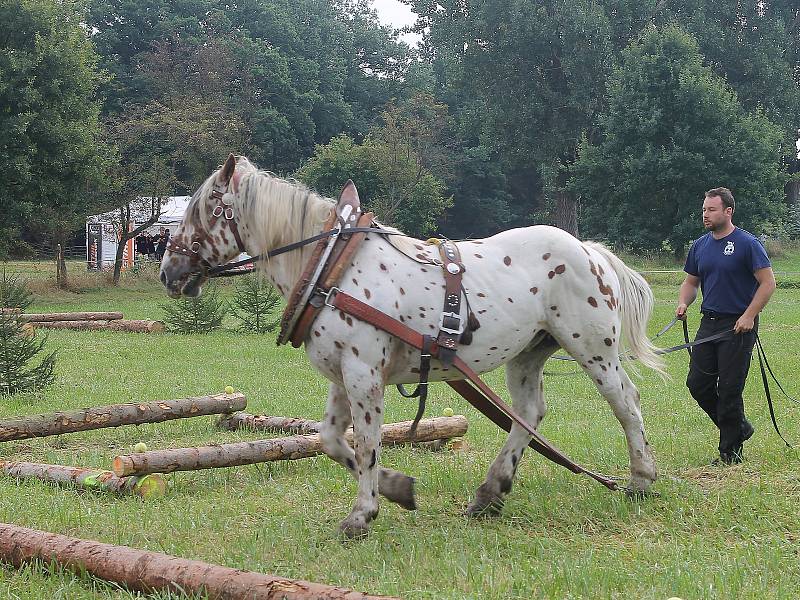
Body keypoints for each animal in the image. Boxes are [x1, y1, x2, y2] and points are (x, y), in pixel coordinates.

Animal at [161, 155, 664, 540]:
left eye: (204, 210)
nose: (168, 271)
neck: (332, 270)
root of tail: (590, 250)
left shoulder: (364, 374)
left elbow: (366, 443)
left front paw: (362, 515)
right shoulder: (342, 376)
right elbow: (331, 440)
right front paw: (396, 488)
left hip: (592, 348)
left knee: (626, 402)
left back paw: (641, 479)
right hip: (528, 353)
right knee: (528, 414)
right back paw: (490, 492)